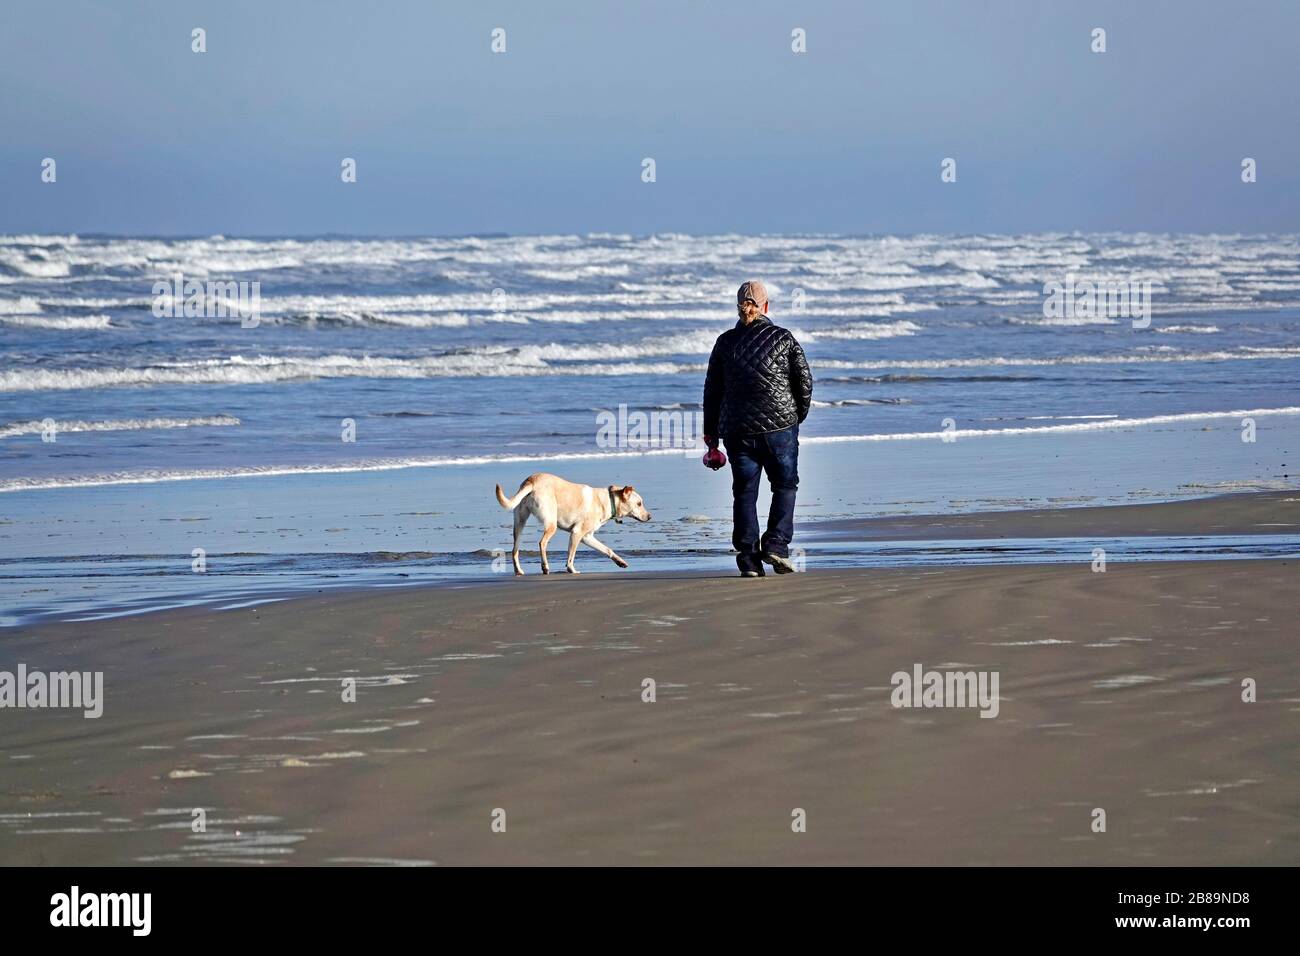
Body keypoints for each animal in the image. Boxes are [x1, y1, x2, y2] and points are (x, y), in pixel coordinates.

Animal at [491, 473, 650, 574]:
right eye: (639, 504)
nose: (649, 516)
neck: (609, 499)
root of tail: (532, 481)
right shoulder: (577, 533)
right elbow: (571, 556)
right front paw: (571, 569)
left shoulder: (587, 537)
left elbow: (607, 549)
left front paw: (620, 562)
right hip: (551, 524)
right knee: (542, 543)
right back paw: (545, 567)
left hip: (519, 523)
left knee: (514, 549)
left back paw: (518, 571)